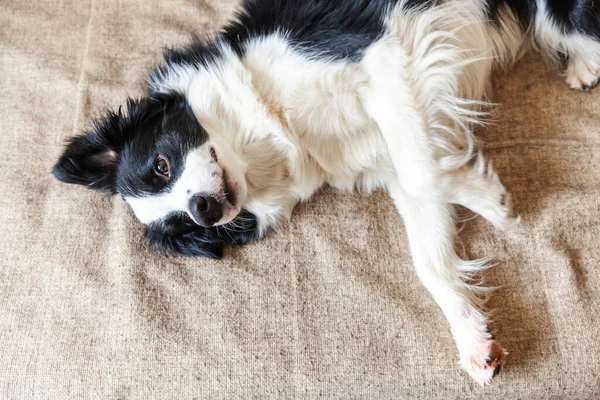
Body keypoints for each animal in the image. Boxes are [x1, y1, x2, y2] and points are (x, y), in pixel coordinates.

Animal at [52, 0, 600, 384]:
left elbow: (427, 175)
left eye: (161, 166)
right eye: (184, 226)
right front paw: (473, 340)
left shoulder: (386, 56)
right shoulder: (386, 153)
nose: (202, 209)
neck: (273, 125)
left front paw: (492, 200)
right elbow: (428, 251)